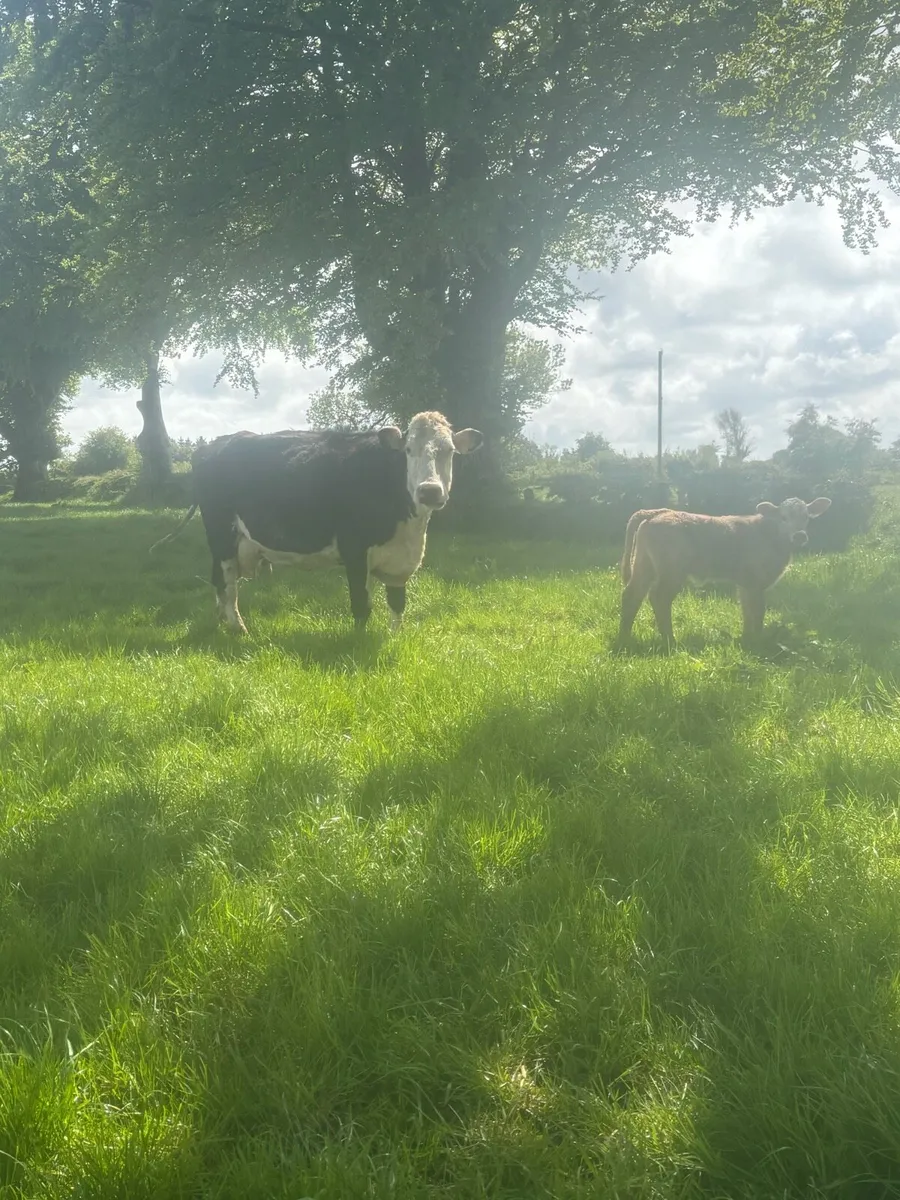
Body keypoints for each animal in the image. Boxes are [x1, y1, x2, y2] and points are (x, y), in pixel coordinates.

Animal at [150, 411, 482, 633]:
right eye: (409, 451)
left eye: (449, 451)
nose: (429, 490)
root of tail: (216, 444)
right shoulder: (354, 549)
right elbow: (361, 604)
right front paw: (358, 642)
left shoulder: (399, 562)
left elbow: (397, 604)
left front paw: (394, 638)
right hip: (221, 532)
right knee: (228, 583)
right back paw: (238, 628)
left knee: (218, 580)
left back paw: (223, 622)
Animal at [616, 496, 832, 649]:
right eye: (783, 517)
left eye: (806, 517)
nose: (799, 536)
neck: (768, 534)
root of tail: (656, 512)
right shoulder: (755, 582)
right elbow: (757, 611)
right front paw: (758, 641)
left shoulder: (745, 583)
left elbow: (746, 610)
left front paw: (747, 638)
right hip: (672, 571)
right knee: (658, 597)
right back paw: (670, 641)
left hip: (644, 565)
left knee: (632, 595)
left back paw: (625, 637)